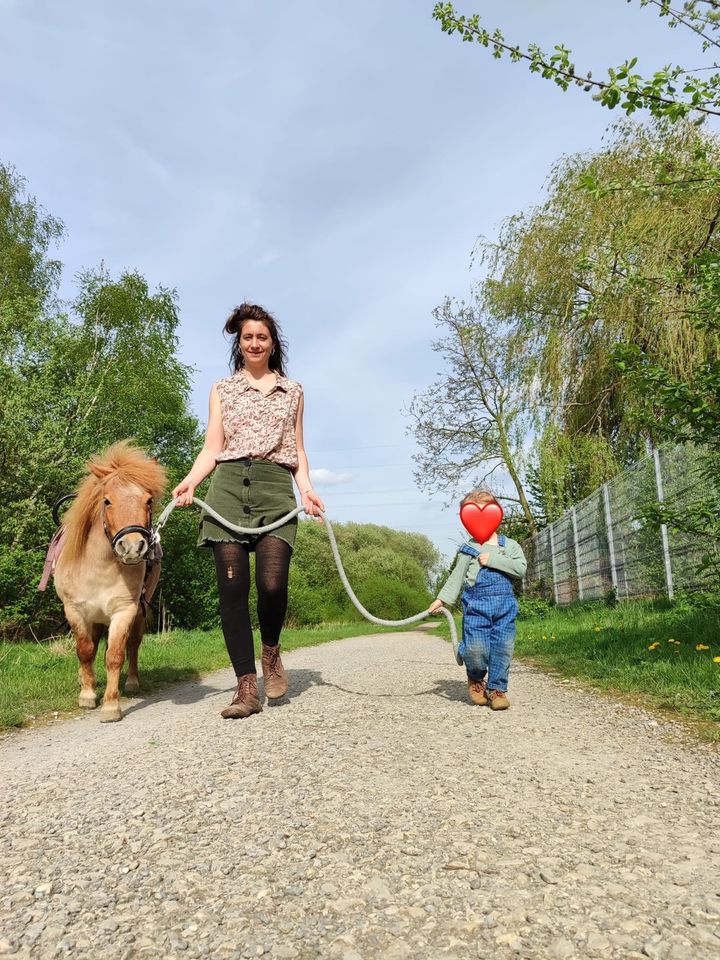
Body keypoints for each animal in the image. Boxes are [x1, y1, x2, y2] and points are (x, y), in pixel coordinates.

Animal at [54, 442, 167, 720]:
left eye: (148, 500)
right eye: (107, 501)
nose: (133, 547)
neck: (99, 568)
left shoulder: (124, 610)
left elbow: (115, 654)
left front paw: (111, 705)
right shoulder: (75, 611)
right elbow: (85, 651)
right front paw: (87, 694)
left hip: (139, 610)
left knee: (133, 644)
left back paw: (133, 682)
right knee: (92, 646)